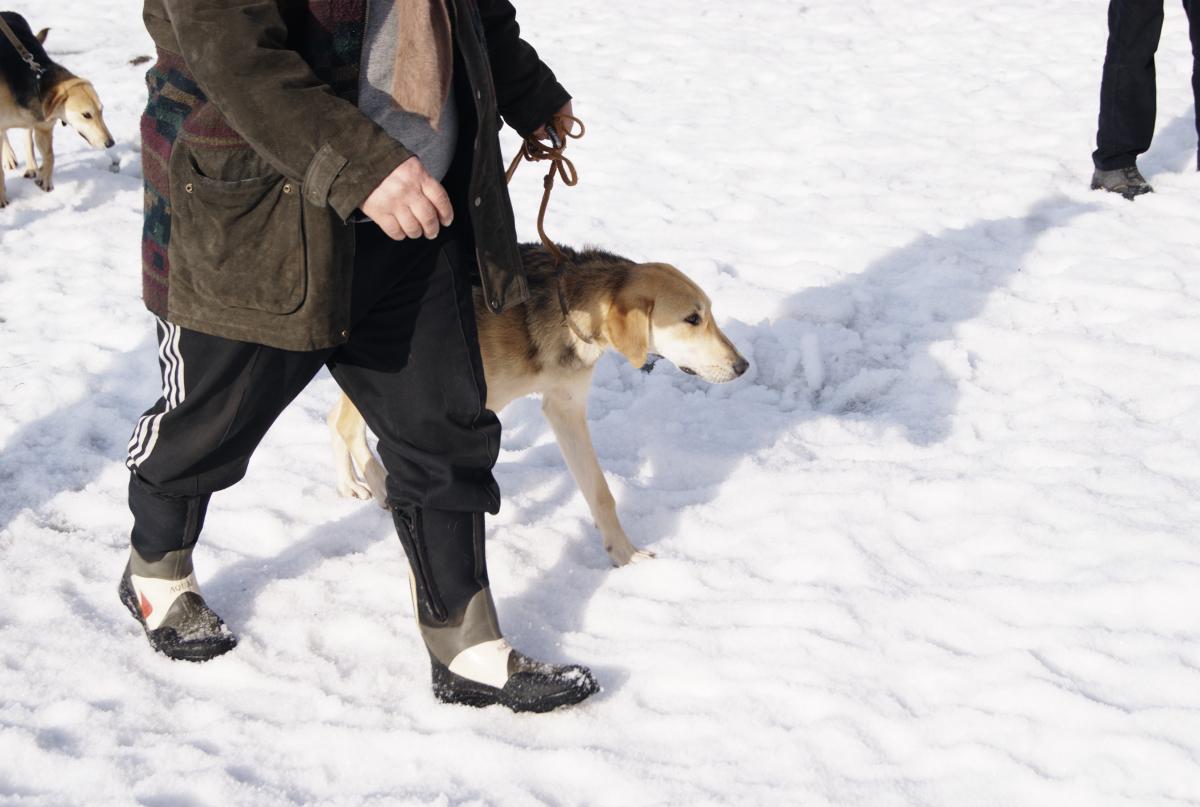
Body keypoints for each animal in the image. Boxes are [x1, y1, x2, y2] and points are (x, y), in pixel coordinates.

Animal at [0, 12, 113, 207]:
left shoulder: (44, 126)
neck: (37, 82)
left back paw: (32, 166)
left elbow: (50, 155)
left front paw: (45, 178)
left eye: (101, 111)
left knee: (27, 135)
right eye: (86, 115)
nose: (110, 143)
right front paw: (1, 198)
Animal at [329, 243, 749, 566]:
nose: (742, 366)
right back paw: (379, 484)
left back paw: (350, 483)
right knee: (346, 425)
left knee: (335, 418)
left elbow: (600, 492)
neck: (569, 309)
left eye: (709, 313)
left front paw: (624, 555)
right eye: (692, 318)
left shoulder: (566, 408)